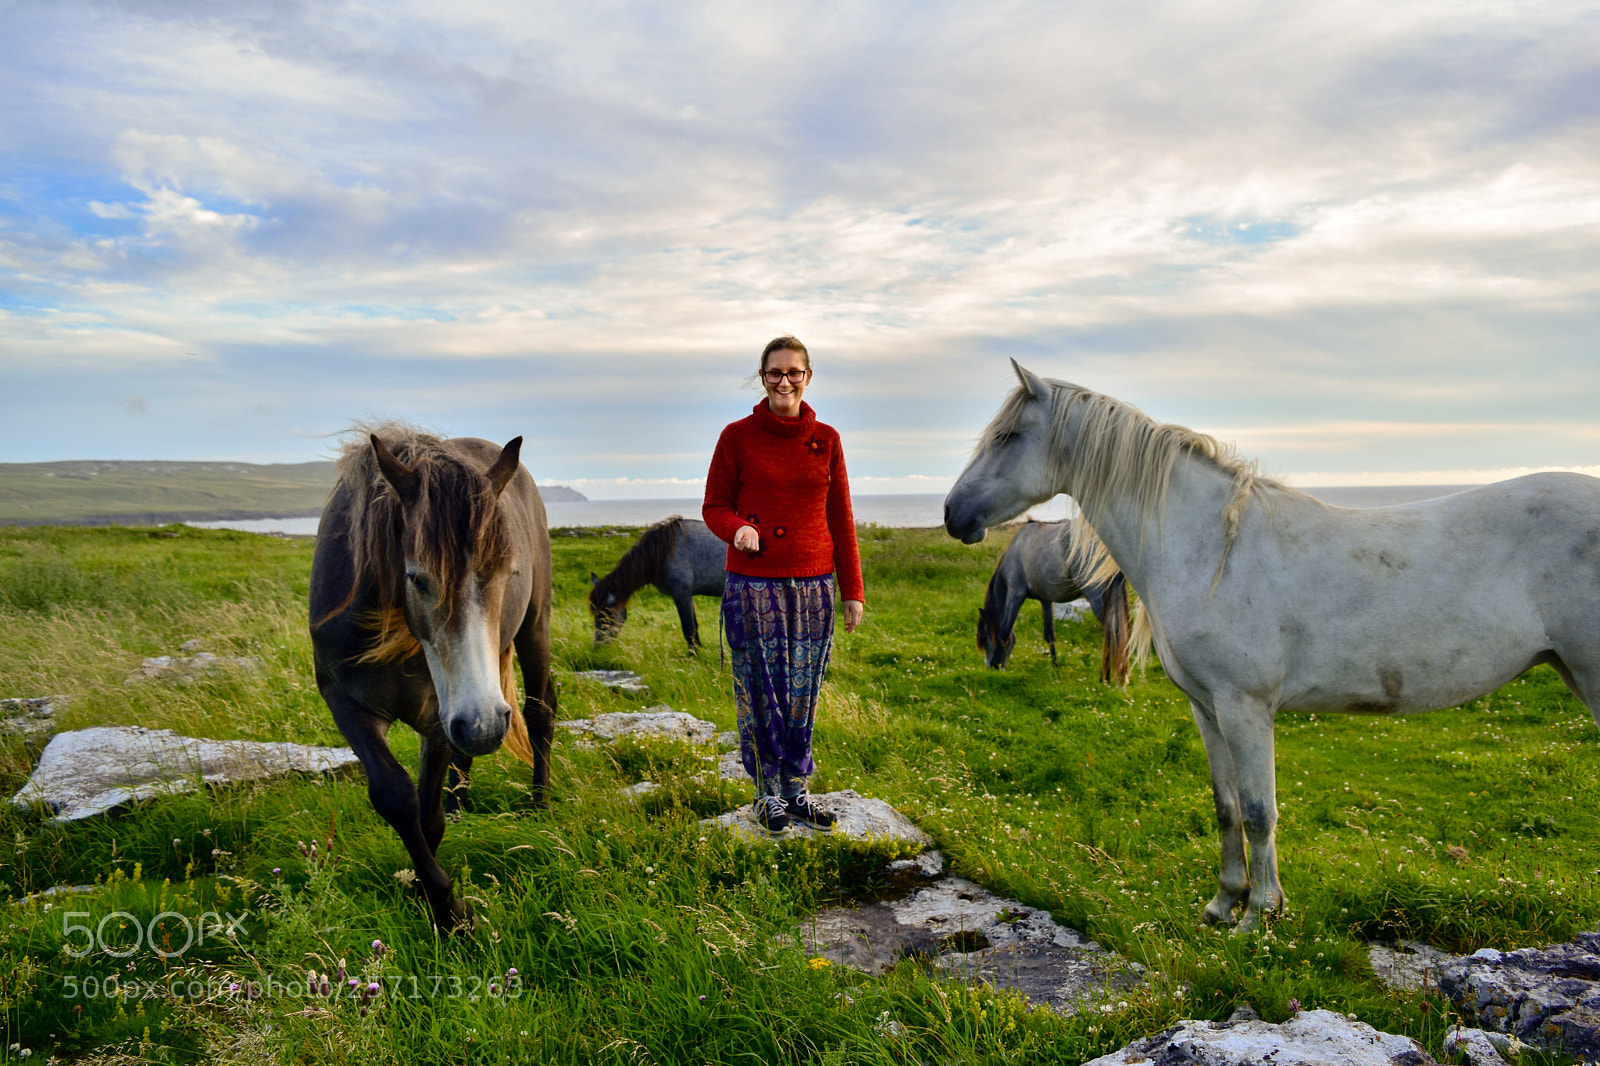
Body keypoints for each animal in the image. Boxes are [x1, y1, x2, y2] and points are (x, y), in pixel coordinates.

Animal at [310, 424, 557, 933]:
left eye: (508, 572)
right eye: (416, 578)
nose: (484, 725)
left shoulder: (437, 714)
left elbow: (427, 818)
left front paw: (446, 912)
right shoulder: (344, 700)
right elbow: (395, 796)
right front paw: (436, 896)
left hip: (533, 628)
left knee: (541, 710)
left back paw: (540, 803)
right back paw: (461, 802)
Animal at [588, 516, 726, 650]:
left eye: (607, 612)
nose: (597, 646)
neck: (664, 551)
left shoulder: (681, 594)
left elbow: (688, 629)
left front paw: (693, 654)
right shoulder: (687, 595)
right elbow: (695, 627)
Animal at [978, 518, 1132, 683]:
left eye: (985, 637)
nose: (989, 666)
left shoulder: (1015, 595)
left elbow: (1005, 632)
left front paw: (995, 663)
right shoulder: (1045, 600)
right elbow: (1049, 634)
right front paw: (1055, 664)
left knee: (1111, 633)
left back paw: (1105, 677)